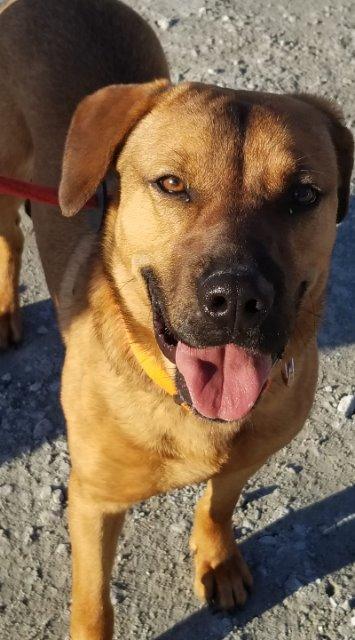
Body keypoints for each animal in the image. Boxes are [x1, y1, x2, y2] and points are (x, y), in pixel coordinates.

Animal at [0, 1, 354, 640]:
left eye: (303, 195)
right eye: (171, 184)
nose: (236, 299)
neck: (181, 401)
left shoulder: (248, 456)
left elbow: (219, 502)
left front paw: (217, 558)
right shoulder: (92, 502)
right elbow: (94, 605)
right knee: (10, 235)